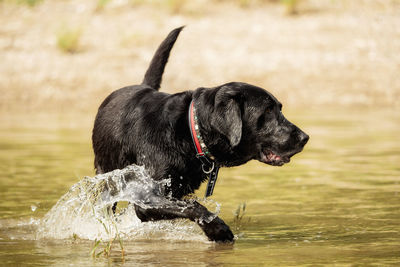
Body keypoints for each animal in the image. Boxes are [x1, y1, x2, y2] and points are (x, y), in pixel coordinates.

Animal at [92, 27, 308, 243]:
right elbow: (192, 206)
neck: (189, 131)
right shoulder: (146, 200)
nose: (305, 137)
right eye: (268, 111)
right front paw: (219, 230)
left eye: (279, 108)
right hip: (106, 177)